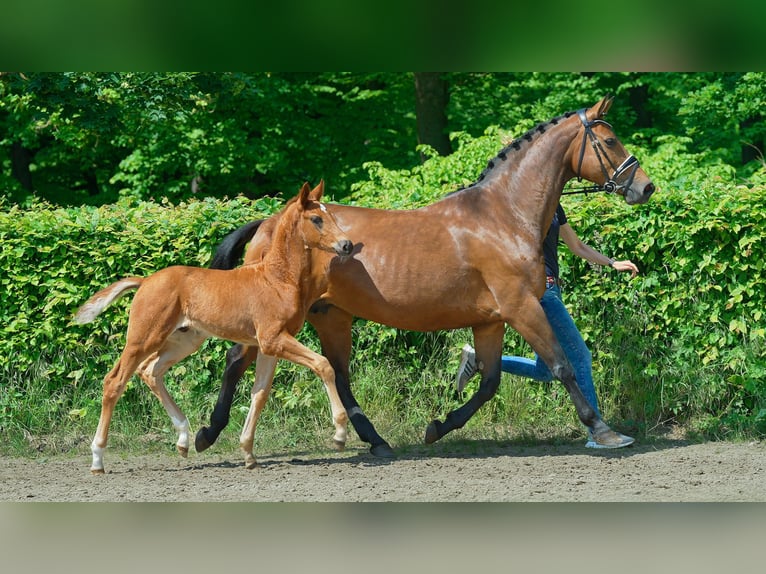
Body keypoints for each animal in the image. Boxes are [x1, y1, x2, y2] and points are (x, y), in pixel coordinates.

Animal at [73, 182, 356, 474]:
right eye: (317, 219)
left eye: (331, 216)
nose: (347, 245)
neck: (277, 279)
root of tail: (145, 281)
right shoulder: (273, 339)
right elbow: (323, 364)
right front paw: (339, 434)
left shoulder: (268, 345)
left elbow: (260, 393)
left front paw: (248, 453)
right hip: (143, 338)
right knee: (114, 382)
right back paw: (97, 459)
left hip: (184, 340)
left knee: (150, 371)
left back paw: (184, 439)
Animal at [196, 95, 656, 464]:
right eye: (610, 141)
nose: (646, 187)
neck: (503, 215)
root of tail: (269, 223)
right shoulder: (521, 307)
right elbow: (562, 366)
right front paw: (603, 430)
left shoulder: (491, 321)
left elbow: (489, 382)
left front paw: (438, 427)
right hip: (287, 317)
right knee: (237, 360)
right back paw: (206, 434)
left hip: (331, 315)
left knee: (338, 375)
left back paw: (376, 441)